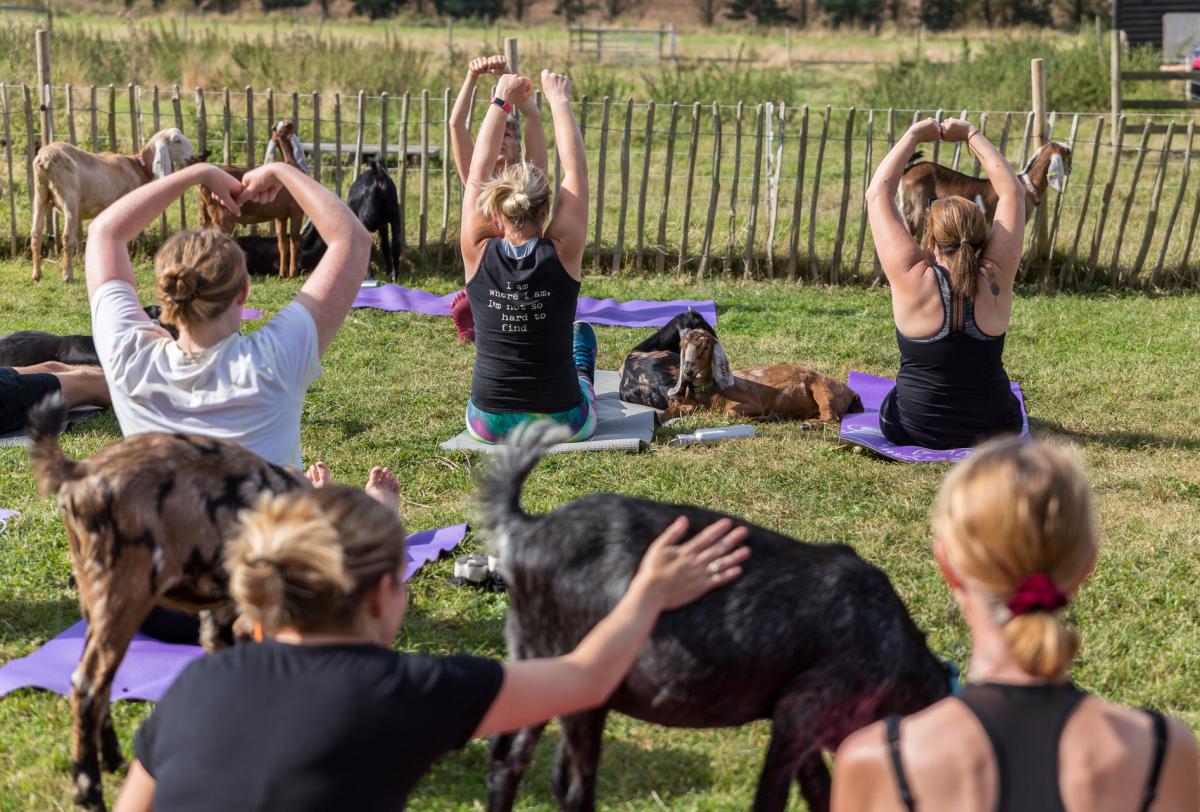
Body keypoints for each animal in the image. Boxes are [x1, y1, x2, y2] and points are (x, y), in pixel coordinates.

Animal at [26, 393, 309, 810]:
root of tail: (79, 471)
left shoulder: (220, 616)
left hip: (93, 598)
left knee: (99, 681)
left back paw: (112, 759)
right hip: (124, 594)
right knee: (87, 683)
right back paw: (89, 789)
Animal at [32, 125, 194, 280]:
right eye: (176, 140)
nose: (193, 157)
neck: (138, 167)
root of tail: (46, 155)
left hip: (40, 194)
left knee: (36, 234)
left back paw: (37, 274)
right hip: (70, 198)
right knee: (67, 238)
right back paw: (67, 275)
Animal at [195, 116, 304, 275]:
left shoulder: (281, 215)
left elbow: (282, 243)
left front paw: (282, 274)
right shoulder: (296, 210)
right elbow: (294, 241)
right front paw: (292, 273)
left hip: (204, 215)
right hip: (222, 215)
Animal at [667, 326, 864, 422]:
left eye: (706, 347)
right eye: (682, 346)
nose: (688, 371)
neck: (711, 393)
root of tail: (851, 392)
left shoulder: (751, 401)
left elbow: (731, 412)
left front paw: (760, 417)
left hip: (824, 390)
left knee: (830, 417)